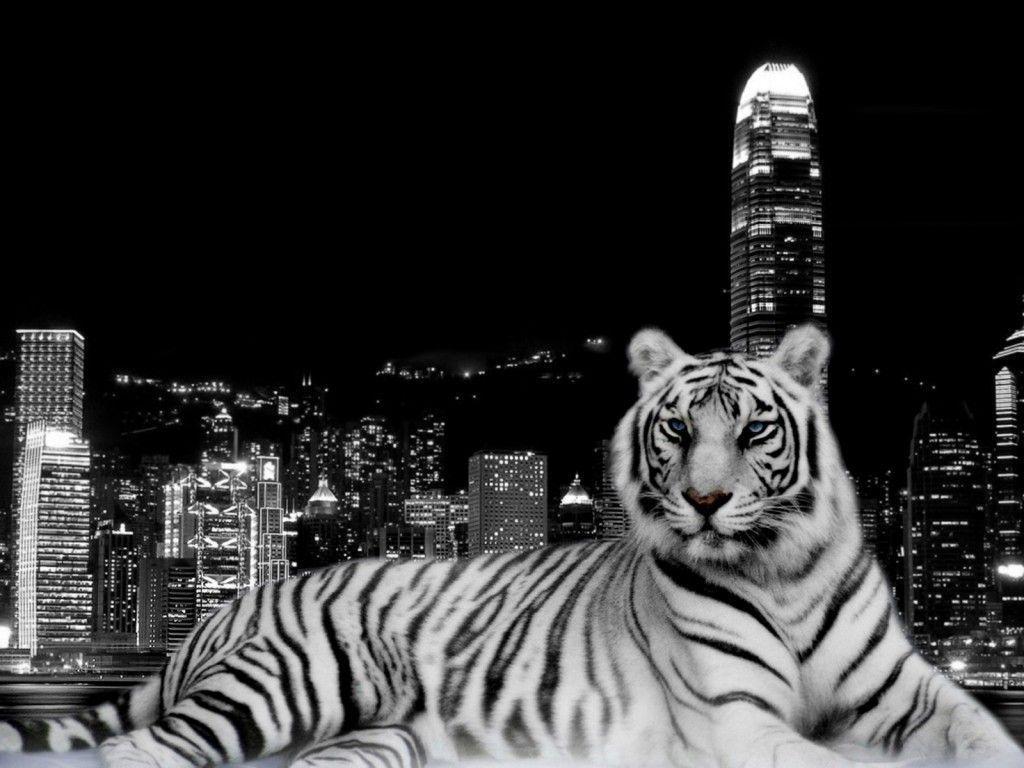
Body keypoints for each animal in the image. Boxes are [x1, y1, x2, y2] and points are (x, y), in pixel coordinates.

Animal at [1, 324, 1021, 767]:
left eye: (752, 429)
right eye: (678, 430)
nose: (704, 502)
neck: (784, 570)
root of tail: (229, 605)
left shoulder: (918, 694)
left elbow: (987, 737)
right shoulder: (734, 717)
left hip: (383, 737)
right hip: (291, 682)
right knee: (139, 753)